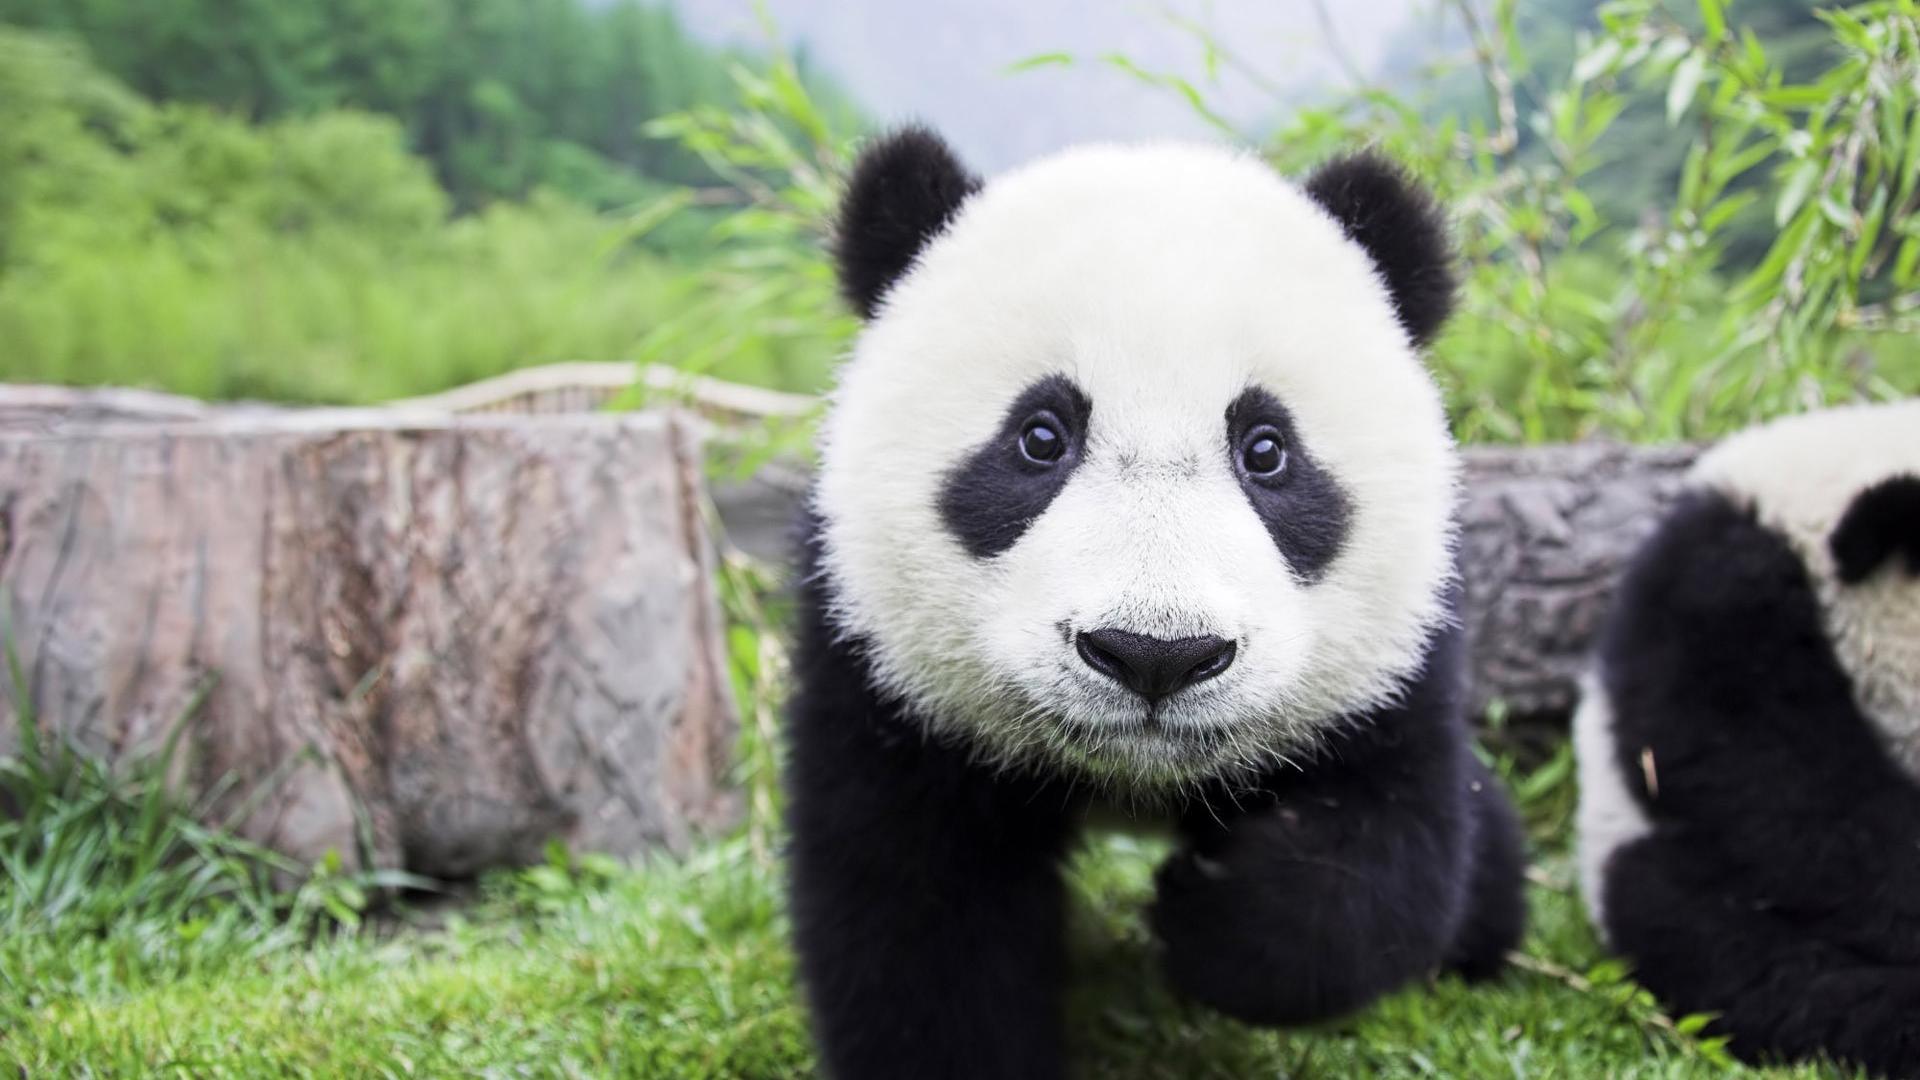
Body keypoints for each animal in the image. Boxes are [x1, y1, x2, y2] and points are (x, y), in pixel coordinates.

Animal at [786, 127, 1528, 1080]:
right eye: (1040, 437)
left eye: (1266, 449)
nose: (1155, 654)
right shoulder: (878, 663)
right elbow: (916, 911)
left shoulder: (1399, 659)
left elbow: (1386, 852)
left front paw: (1210, 913)